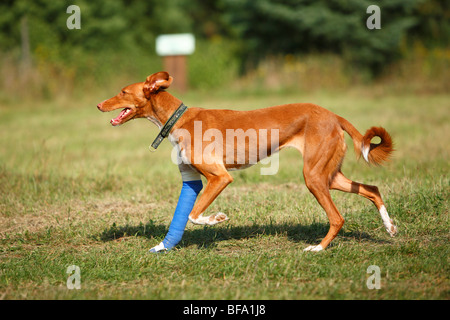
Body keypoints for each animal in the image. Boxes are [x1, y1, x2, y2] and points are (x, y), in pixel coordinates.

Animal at [96, 71, 396, 251]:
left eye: (123, 91)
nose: (98, 105)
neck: (177, 118)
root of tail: (334, 115)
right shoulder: (195, 179)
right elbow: (186, 214)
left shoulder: (220, 177)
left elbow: (194, 215)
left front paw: (216, 218)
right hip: (329, 175)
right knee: (372, 189)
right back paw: (390, 227)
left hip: (314, 177)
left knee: (337, 217)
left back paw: (318, 248)